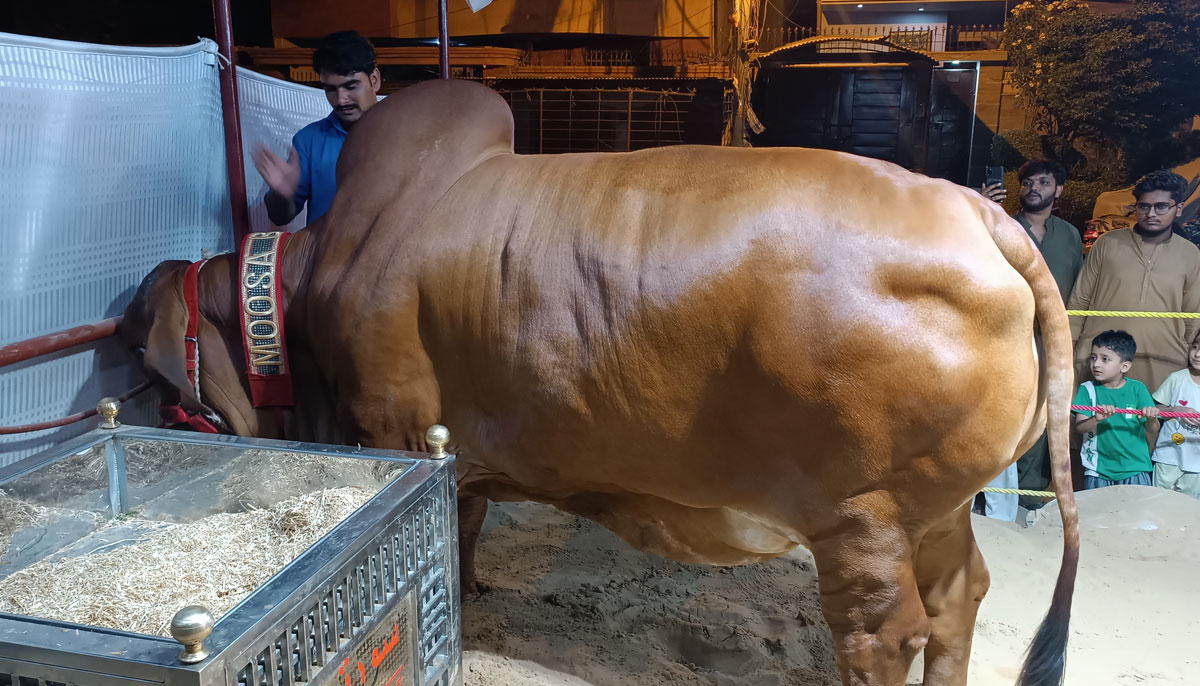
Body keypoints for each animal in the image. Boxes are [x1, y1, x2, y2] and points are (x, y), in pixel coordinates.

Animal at [121, 79, 1080, 686]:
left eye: (142, 351)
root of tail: (982, 215)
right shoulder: (459, 460)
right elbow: (462, 530)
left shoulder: (395, 432)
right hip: (934, 511)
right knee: (959, 602)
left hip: (862, 518)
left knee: (886, 635)